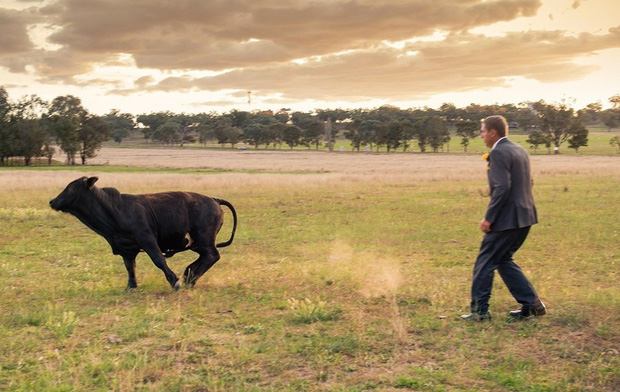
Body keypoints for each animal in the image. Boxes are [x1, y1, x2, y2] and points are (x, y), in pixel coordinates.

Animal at [48, 176, 236, 290]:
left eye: (71, 188)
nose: (52, 201)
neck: (117, 209)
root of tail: (214, 199)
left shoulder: (147, 240)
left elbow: (158, 260)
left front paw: (174, 281)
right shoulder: (126, 249)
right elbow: (130, 267)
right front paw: (131, 286)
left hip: (204, 239)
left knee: (212, 255)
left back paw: (190, 277)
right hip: (198, 243)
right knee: (206, 257)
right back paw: (190, 275)